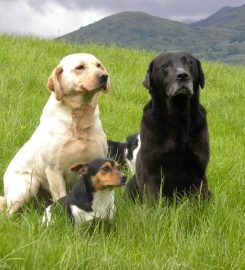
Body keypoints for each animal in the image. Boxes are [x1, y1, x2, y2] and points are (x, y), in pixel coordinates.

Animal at [0, 53, 109, 216]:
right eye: (80, 67)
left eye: (99, 65)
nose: (104, 76)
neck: (80, 118)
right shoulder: (54, 170)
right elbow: (60, 197)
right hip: (28, 183)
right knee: (8, 213)